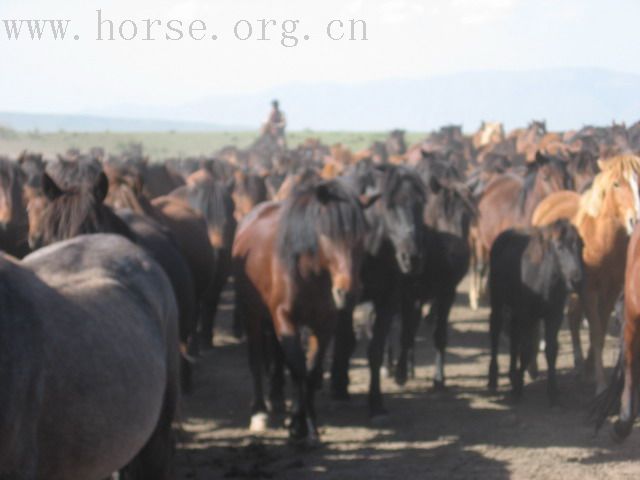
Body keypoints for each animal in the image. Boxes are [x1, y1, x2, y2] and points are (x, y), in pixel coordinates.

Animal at [234, 180, 364, 442]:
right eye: (327, 234)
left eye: (361, 237)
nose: (347, 293)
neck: (310, 271)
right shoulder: (285, 318)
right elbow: (297, 369)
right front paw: (297, 426)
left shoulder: (324, 324)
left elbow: (311, 372)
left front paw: (310, 426)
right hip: (251, 313)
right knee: (256, 358)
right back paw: (259, 411)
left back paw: (276, 399)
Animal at [464, 152, 568, 310]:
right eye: (545, 176)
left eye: (566, 176)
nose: (562, 205)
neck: (526, 214)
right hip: (476, 240)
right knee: (477, 265)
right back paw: (475, 298)